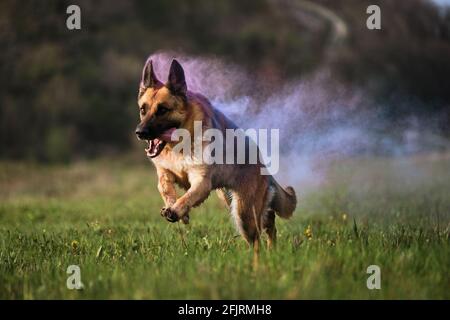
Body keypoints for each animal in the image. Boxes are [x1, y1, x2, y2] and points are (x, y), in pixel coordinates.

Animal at [134, 58, 296, 251]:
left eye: (162, 110)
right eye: (143, 110)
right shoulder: (165, 173)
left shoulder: (201, 182)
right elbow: (164, 188)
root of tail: (263, 164)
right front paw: (176, 209)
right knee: (267, 220)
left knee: (261, 231)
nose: (140, 132)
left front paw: (176, 210)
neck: (180, 145)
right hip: (230, 201)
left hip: (243, 213)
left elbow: (187, 197)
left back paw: (266, 252)